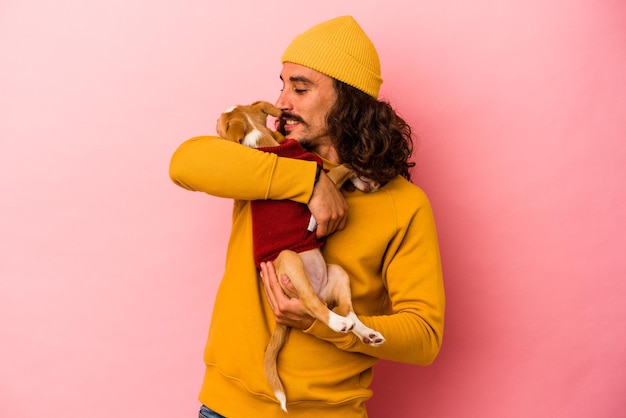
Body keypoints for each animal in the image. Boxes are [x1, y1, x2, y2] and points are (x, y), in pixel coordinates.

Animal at [214, 102, 382, 412]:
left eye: (220, 120)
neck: (263, 141)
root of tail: (318, 289)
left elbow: (345, 167)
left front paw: (367, 180)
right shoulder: (329, 178)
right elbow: (344, 166)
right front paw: (365, 176)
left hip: (337, 272)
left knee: (346, 310)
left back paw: (365, 332)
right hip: (290, 258)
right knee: (313, 305)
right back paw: (337, 323)